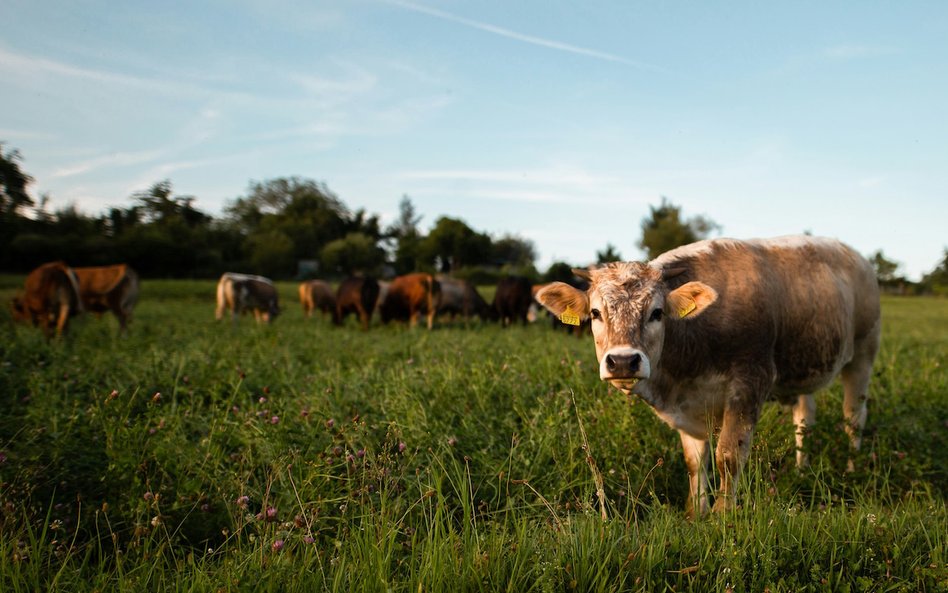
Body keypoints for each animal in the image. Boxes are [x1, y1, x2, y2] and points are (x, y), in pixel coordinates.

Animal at [536, 234, 884, 516]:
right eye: (595, 313)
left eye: (657, 313)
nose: (623, 361)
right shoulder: (688, 406)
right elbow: (695, 461)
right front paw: (696, 512)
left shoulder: (750, 380)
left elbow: (728, 455)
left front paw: (721, 515)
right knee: (804, 419)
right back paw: (801, 470)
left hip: (863, 355)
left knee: (854, 417)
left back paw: (852, 469)